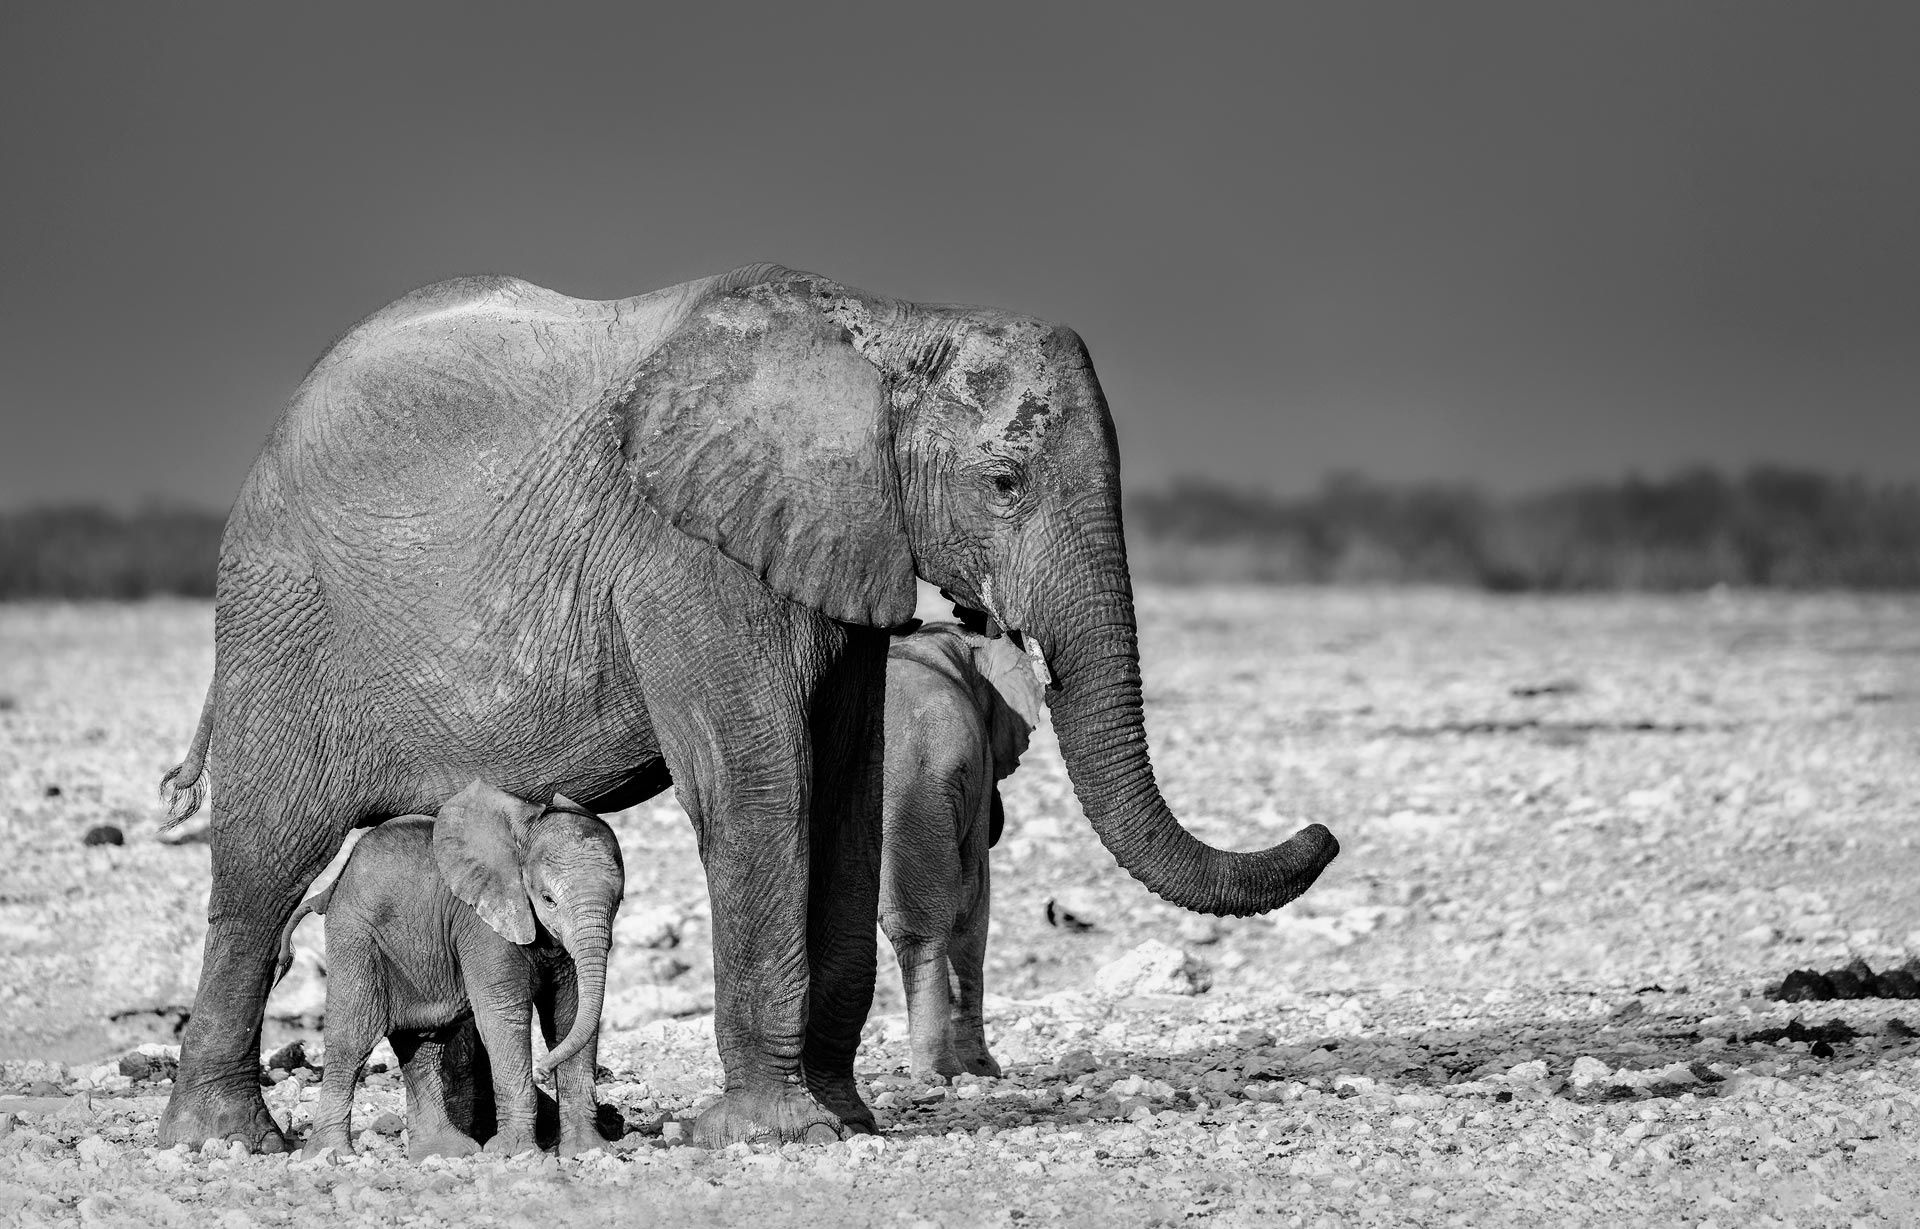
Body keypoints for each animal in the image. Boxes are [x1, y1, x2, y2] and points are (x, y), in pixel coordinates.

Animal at [271, 781, 624, 1159]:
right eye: (548, 900)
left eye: (618, 901)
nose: (543, 1071)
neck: (523, 833)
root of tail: (330, 889)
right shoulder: (482, 925)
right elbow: (504, 1013)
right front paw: (513, 1153)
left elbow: (568, 1014)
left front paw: (587, 1151)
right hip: (354, 934)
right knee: (354, 1036)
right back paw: (329, 1154)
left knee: (423, 1040)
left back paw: (443, 1152)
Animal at [880, 621, 1043, 1082]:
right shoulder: (979, 765)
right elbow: (974, 898)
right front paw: (985, 1070)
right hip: (915, 793)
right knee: (926, 925)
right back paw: (943, 1074)